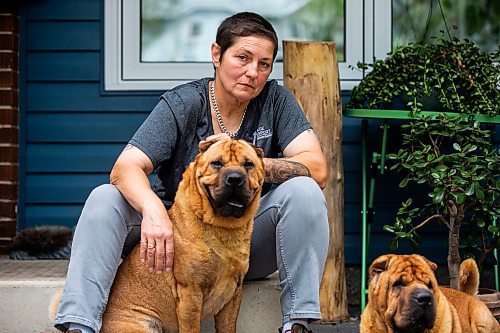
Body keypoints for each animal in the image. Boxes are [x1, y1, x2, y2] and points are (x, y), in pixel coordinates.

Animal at [102, 139, 266, 330]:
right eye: (216, 163)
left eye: (248, 164)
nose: (234, 178)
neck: (223, 227)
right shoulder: (190, 292)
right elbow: (191, 327)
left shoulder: (233, 294)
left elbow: (228, 326)